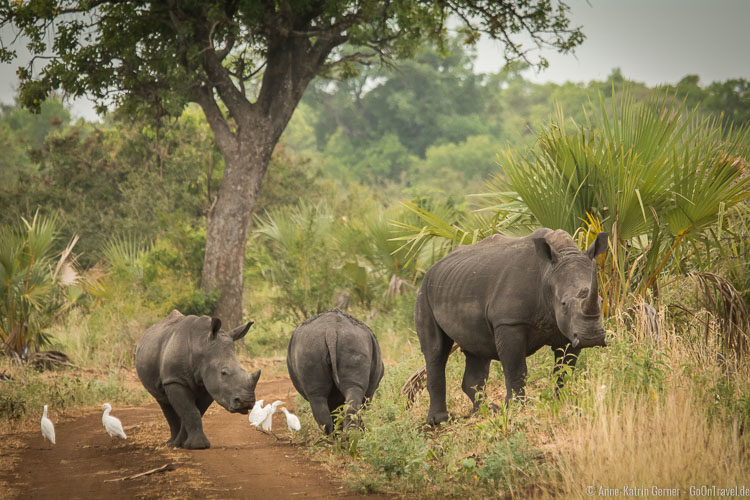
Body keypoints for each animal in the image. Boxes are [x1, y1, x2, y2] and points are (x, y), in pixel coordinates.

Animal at [135, 310, 262, 448]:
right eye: (223, 373)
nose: (246, 402)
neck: (201, 346)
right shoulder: (175, 379)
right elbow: (190, 410)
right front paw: (197, 445)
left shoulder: (210, 385)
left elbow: (196, 411)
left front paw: (184, 443)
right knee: (162, 401)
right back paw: (170, 443)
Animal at [418, 229, 612, 424]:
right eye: (563, 303)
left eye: (601, 300)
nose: (591, 337)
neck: (548, 273)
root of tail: (433, 268)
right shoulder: (509, 322)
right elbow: (516, 369)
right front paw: (515, 409)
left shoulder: (570, 331)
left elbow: (565, 369)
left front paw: (563, 403)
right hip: (424, 292)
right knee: (436, 350)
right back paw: (440, 420)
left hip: (461, 284)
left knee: (478, 349)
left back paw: (487, 411)